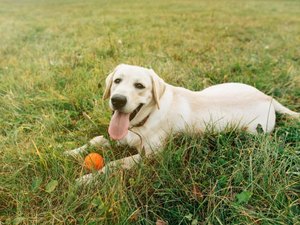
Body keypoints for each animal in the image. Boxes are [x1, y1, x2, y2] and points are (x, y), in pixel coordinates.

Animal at [67, 63, 298, 183]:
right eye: (117, 81)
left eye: (140, 86)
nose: (117, 100)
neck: (146, 120)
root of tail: (268, 97)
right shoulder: (122, 136)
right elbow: (96, 140)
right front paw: (71, 152)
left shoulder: (149, 157)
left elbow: (114, 164)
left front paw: (86, 179)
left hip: (252, 131)